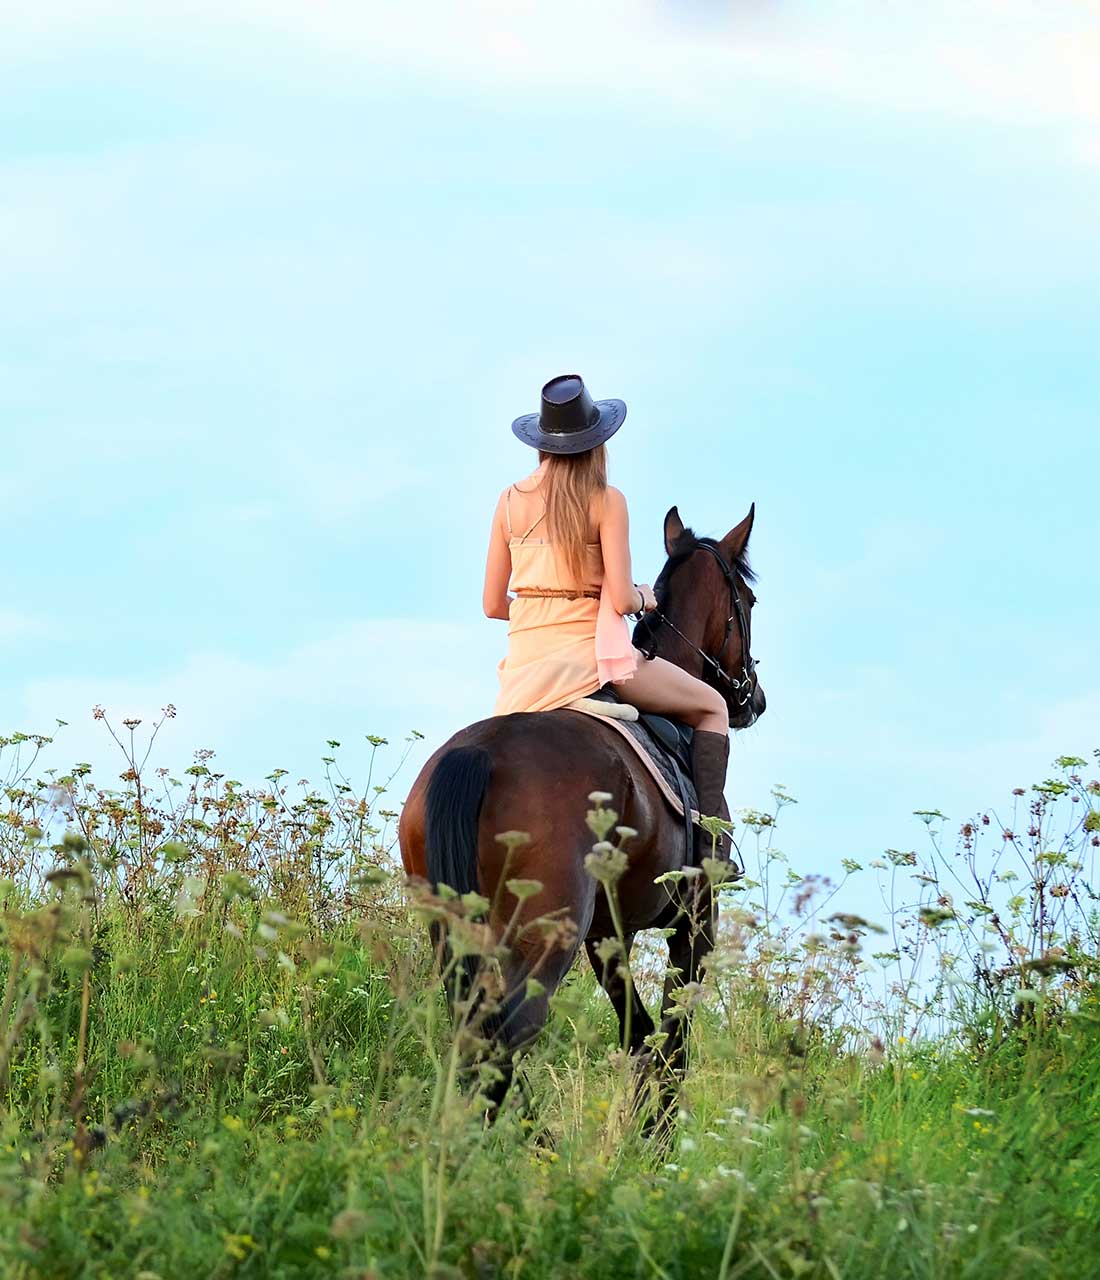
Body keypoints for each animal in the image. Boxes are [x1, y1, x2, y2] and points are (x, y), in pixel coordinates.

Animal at [398, 503, 765, 1118]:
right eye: (750, 601)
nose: (751, 700)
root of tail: (478, 752)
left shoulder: (609, 934)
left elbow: (640, 1034)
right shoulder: (695, 922)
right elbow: (673, 1040)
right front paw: (656, 1134)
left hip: (455, 930)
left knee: (477, 1037)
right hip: (546, 936)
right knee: (505, 1038)